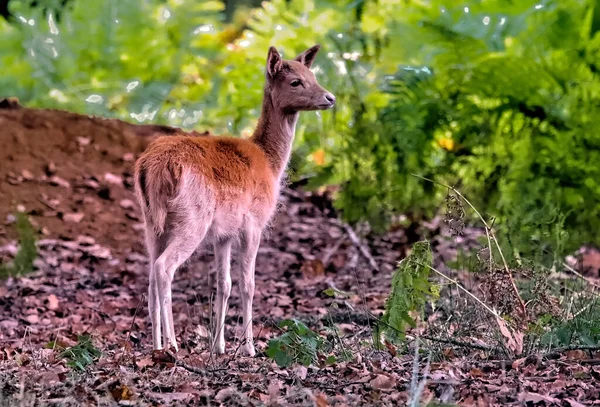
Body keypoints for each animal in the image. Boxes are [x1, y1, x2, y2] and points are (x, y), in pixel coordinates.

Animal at [133, 45, 336, 356]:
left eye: (313, 76)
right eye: (295, 82)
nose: (330, 98)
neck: (270, 164)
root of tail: (151, 166)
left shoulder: (223, 234)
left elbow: (224, 283)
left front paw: (219, 346)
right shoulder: (253, 223)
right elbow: (248, 284)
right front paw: (249, 347)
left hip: (151, 222)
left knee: (150, 276)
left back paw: (156, 346)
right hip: (192, 218)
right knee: (163, 268)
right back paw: (172, 344)